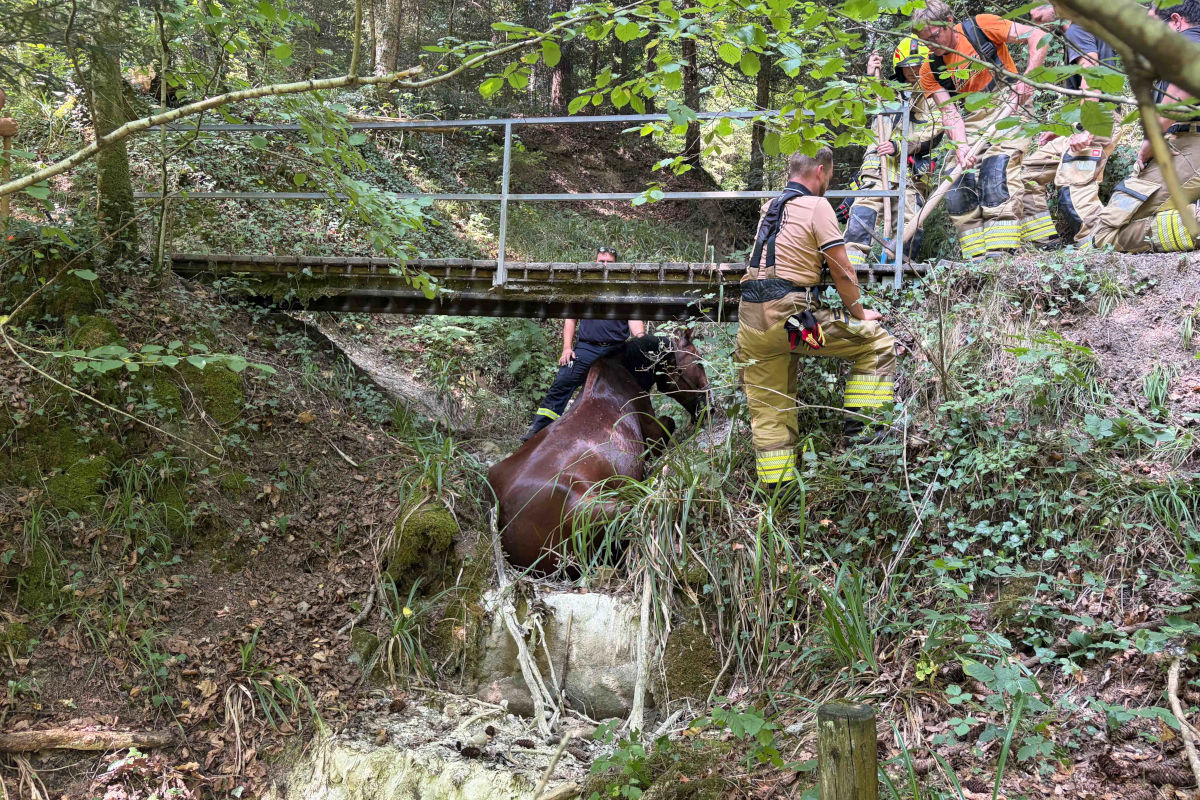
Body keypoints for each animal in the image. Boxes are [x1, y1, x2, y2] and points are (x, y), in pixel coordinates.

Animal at [488, 331, 710, 575]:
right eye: (698, 361)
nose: (709, 406)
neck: (620, 371)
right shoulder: (653, 432)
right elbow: (669, 424)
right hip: (614, 509)